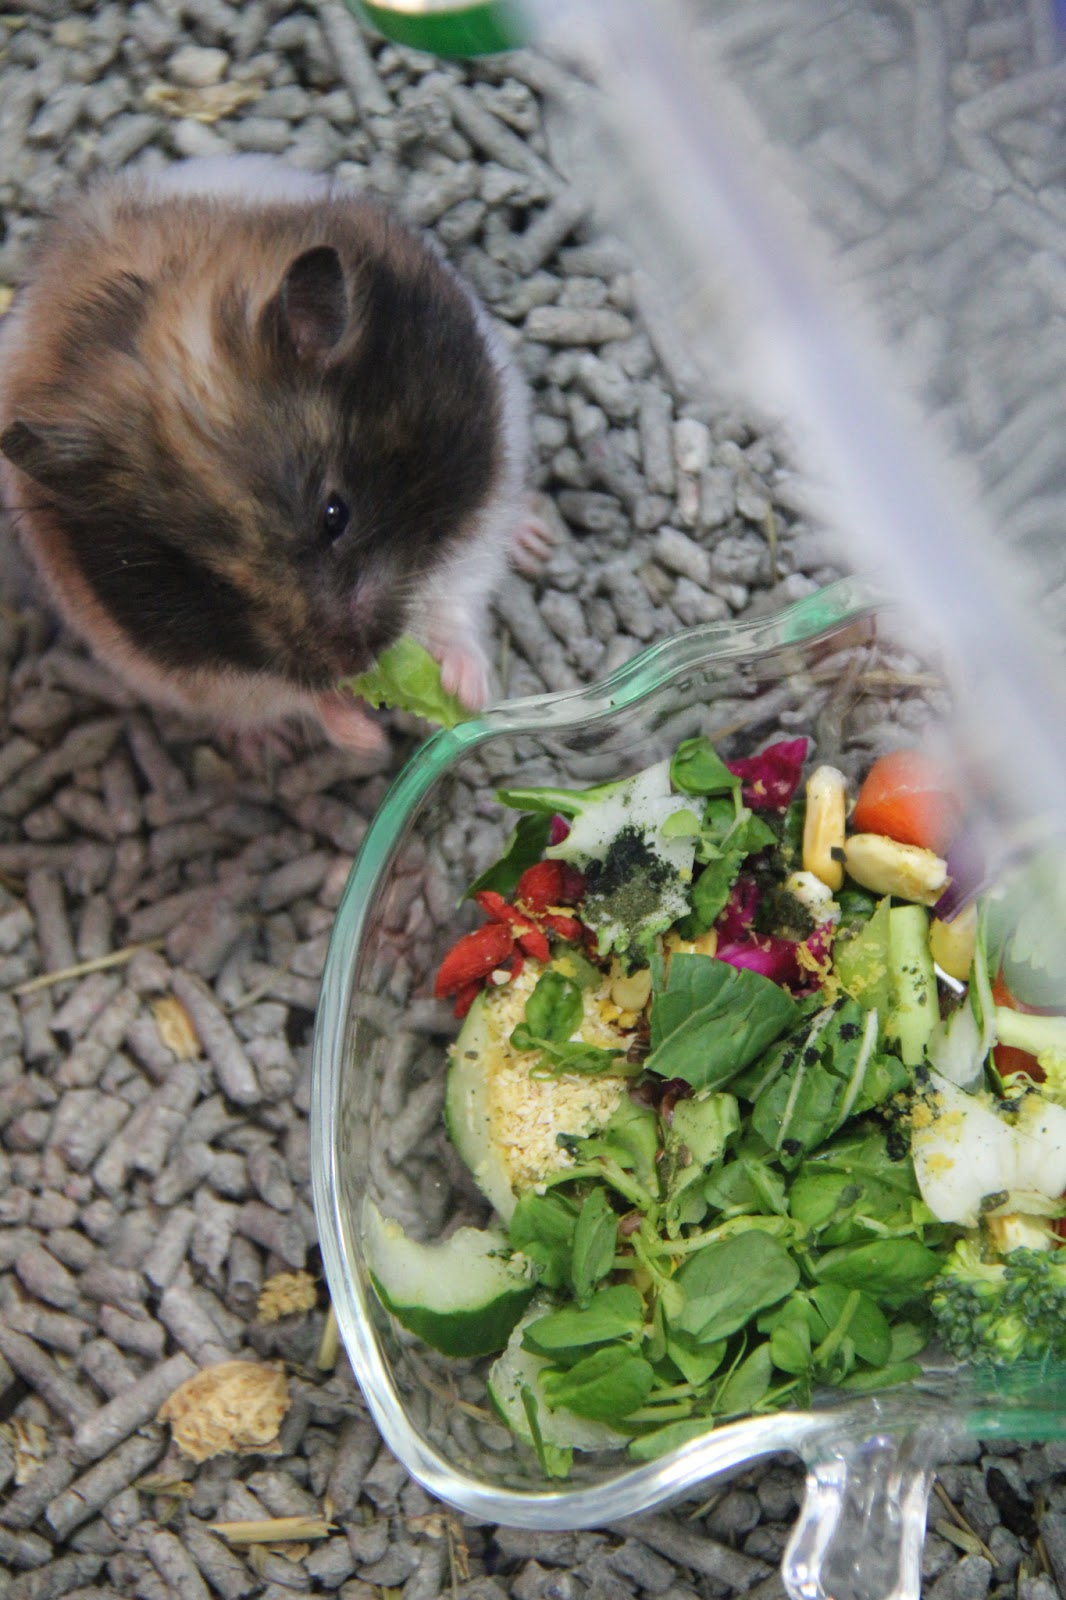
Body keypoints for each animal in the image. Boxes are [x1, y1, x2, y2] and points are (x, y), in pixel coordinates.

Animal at [0, 156, 547, 755]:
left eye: (336, 515)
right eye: (217, 587)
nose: (356, 664)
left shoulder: (482, 484)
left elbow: (456, 596)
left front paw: (465, 694)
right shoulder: (169, 656)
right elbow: (288, 694)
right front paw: (363, 738)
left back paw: (537, 541)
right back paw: (268, 746)